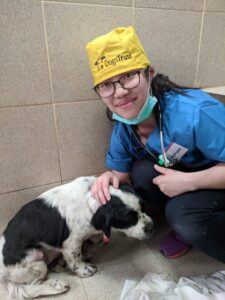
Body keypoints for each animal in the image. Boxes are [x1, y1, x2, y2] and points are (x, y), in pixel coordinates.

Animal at [0, 177, 154, 298]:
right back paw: (57, 284)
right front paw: (84, 270)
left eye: (143, 207)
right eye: (129, 218)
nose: (151, 227)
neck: (90, 196)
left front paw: (96, 238)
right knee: (32, 286)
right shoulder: (71, 244)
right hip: (36, 259)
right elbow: (76, 259)